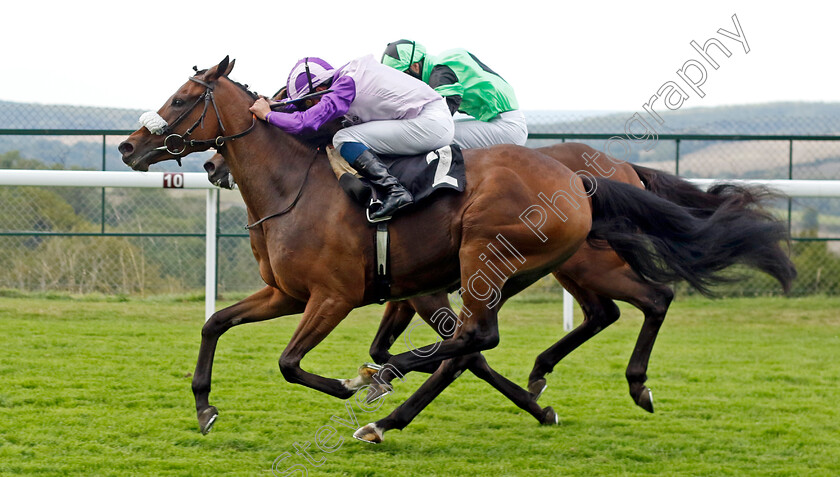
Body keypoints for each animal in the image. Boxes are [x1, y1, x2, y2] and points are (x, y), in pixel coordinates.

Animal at [120, 57, 796, 440]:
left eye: (183, 98)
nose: (129, 148)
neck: (297, 186)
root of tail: (580, 178)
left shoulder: (336, 296)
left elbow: (291, 363)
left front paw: (353, 384)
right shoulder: (290, 292)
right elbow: (213, 323)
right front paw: (204, 409)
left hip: (498, 256)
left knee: (493, 335)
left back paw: (385, 408)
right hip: (534, 268)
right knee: (586, 315)